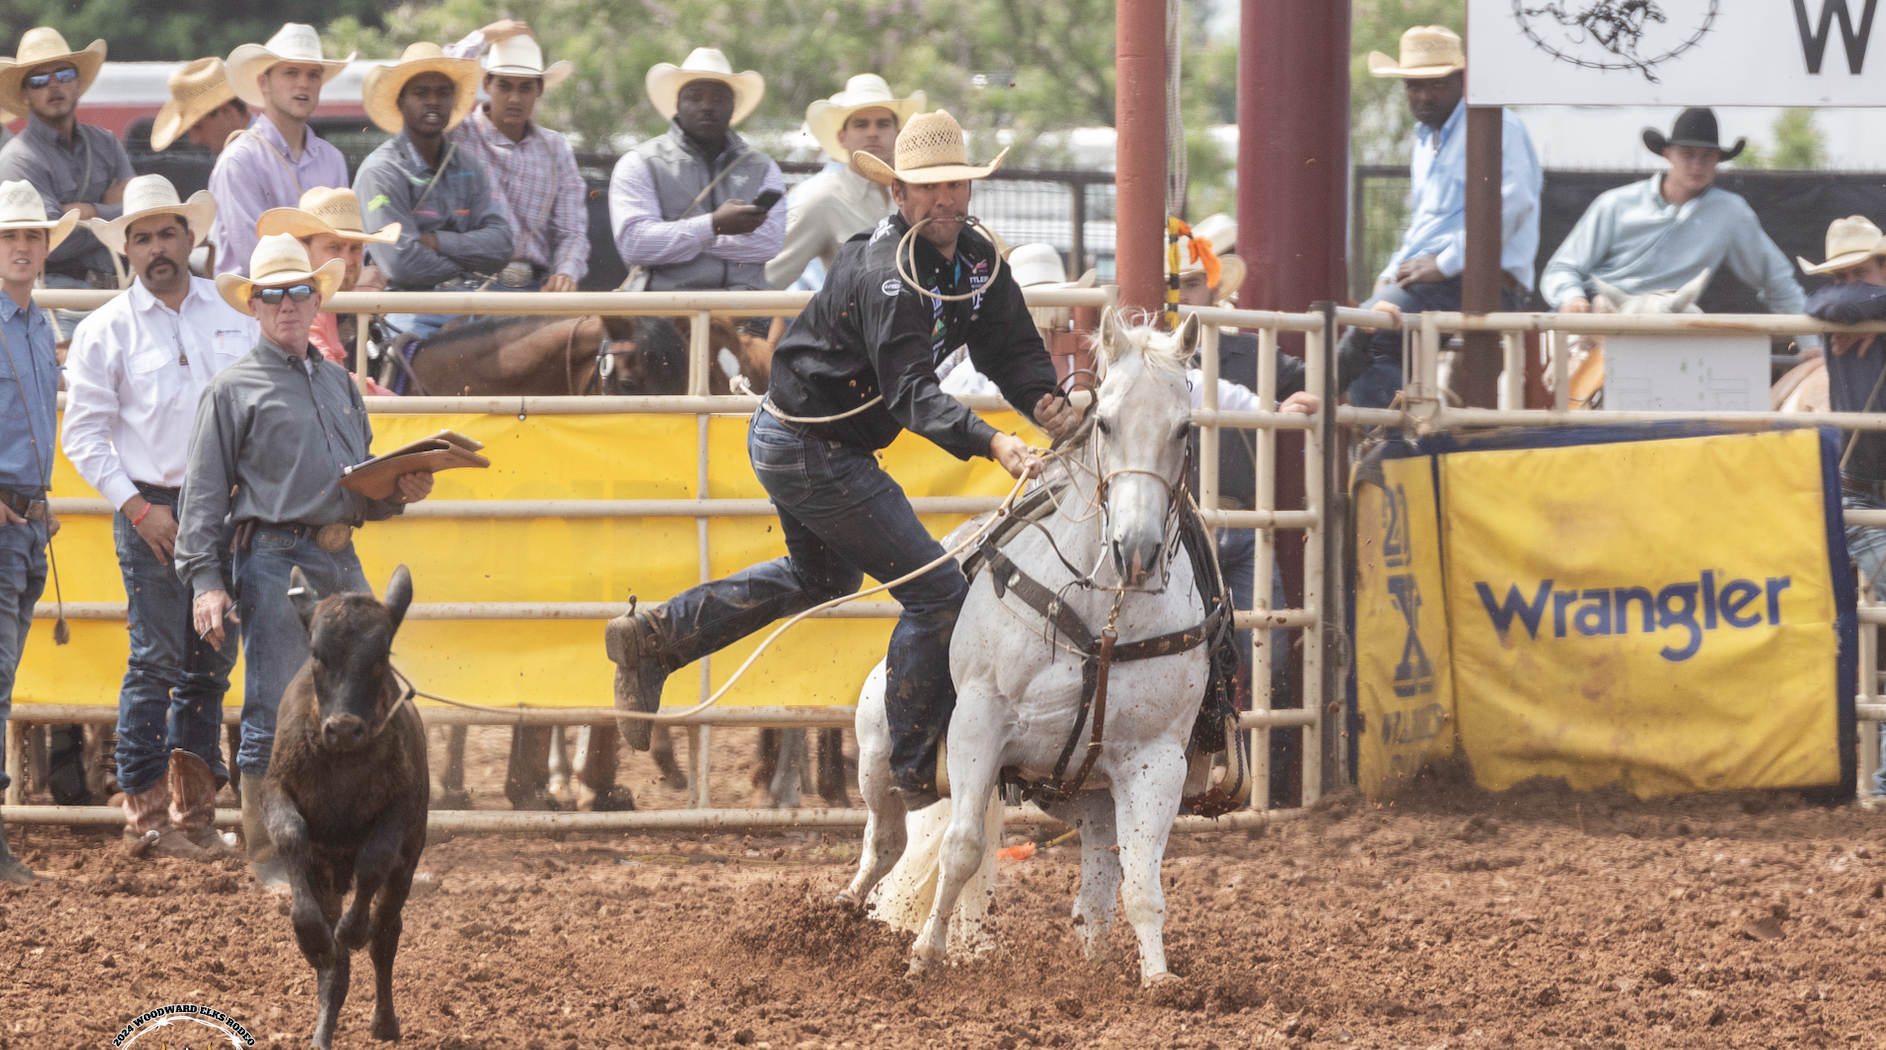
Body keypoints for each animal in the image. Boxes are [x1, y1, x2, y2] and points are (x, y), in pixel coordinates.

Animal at [848, 309, 1214, 980]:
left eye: (1183, 428)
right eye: (1104, 422)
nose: (1137, 551)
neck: (1103, 619)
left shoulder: (1156, 760)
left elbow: (1143, 885)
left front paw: (1159, 979)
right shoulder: (979, 723)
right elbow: (961, 849)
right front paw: (925, 956)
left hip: (1088, 798)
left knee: (1098, 883)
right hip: (876, 749)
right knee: (885, 839)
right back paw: (837, 911)